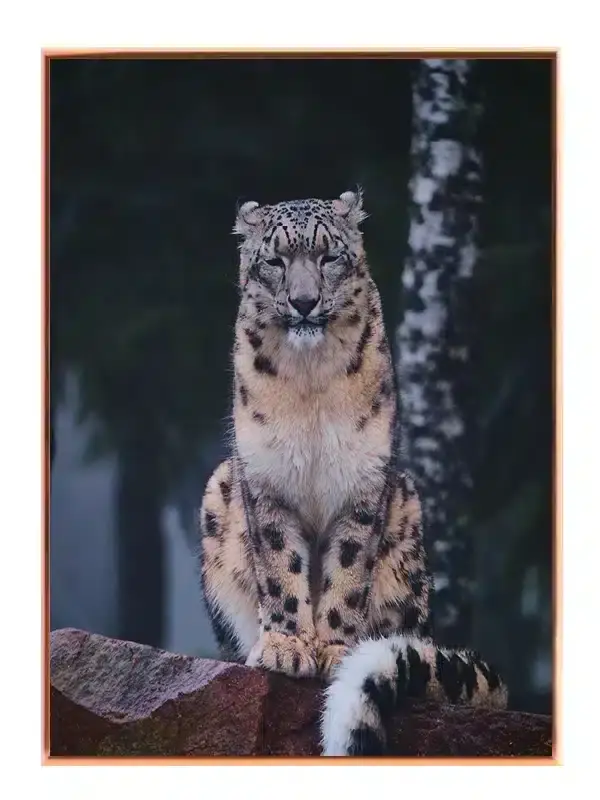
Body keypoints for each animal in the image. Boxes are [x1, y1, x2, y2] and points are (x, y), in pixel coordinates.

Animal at [197, 189, 508, 756]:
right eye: (275, 261)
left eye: (328, 256)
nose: (303, 302)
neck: (309, 382)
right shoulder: (267, 482)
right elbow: (279, 565)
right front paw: (287, 646)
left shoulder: (363, 487)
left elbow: (347, 570)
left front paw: (335, 650)